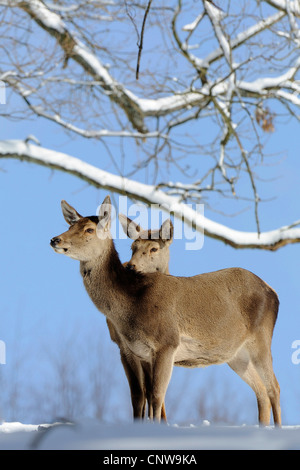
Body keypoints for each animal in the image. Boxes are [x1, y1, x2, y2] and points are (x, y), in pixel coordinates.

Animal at [50, 195, 282, 426]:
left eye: (89, 229)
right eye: (70, 225)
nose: (55, 240)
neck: (131, 307)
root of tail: (274, 293)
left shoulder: (167, 342)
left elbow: (156, 396)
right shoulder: (131, 350)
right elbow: (138, 396)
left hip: (261, 338)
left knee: (274, 387)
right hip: (236, 355)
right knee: (261, 391)